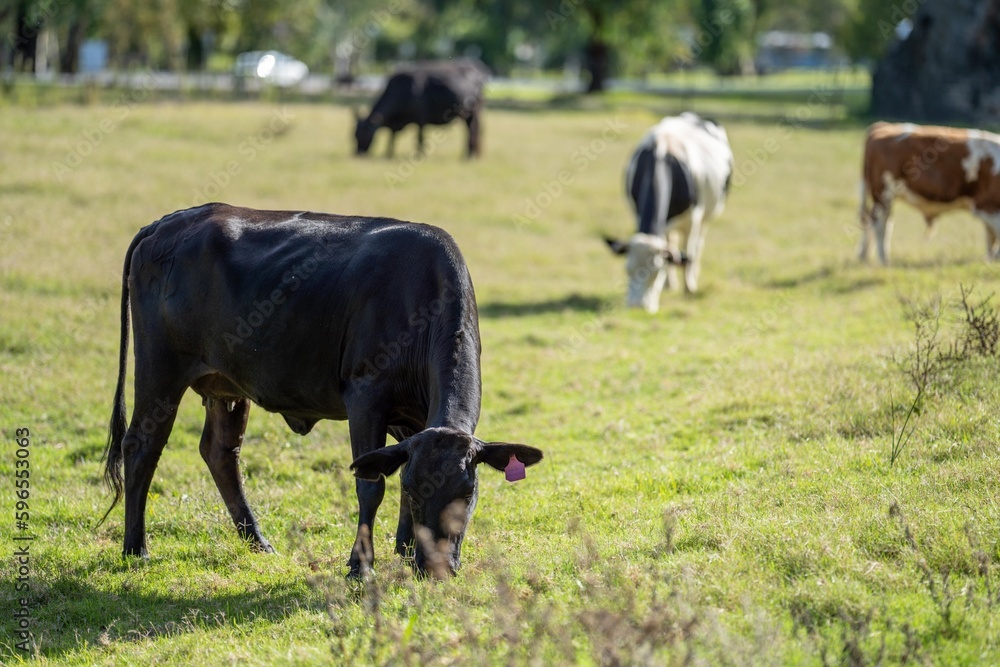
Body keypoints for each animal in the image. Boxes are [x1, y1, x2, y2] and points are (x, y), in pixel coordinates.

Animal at [101, 203, 543, 577]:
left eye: (467, 493)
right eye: (416, 493)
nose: (435, 569)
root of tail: (169, 221)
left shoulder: (412, 418)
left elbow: (394, 465)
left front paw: (402, 550)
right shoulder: (366, 396)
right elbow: (372, 483)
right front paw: (360, 566)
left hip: (226, 385)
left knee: (220, 452)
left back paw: (258, 541)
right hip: (160, 369)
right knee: (141, 445)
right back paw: (136, 548)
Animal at [354, 58, 489, 159]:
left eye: (363, 133)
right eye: (354, 135)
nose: (357, 154)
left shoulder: (421, 119)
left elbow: (419, 138)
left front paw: (419, 156)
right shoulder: (395, 124)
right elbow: (392, 137)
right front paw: (389, 155)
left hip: (475, 111)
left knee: (474, 130)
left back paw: (470, 156)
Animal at [604, 113, 733, 313]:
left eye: (657, 272)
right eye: (627, 269)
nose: (637, 307)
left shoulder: (694, 219)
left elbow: (688, 255)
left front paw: (688, 290)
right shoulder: (638, 213)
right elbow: (672, 253)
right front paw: (670, 284)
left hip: (707, 216)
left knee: (697, 246)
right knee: (672, 244)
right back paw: (671, 285)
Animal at [859, 121, 1000, 264]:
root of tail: (883, 126)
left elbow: (991, 237)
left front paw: (990, 258)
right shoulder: (987, 205)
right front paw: (994, 258)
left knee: (871, 221)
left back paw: (864, 256)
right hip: (883, 193)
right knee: (881, 224)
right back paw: (884, 259)